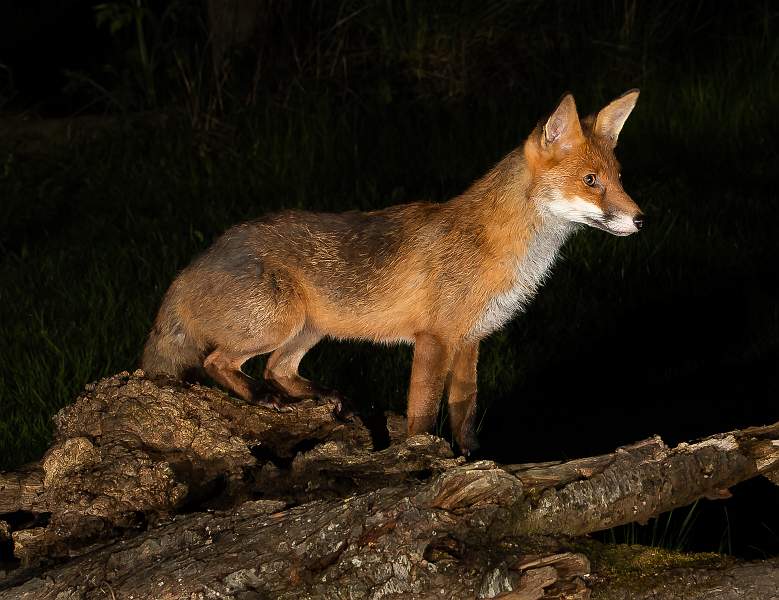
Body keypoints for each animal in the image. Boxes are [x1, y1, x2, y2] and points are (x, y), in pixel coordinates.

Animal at [141, 90, 643, 455]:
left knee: (276, 368)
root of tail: (189, 268)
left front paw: (471, 457)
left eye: (619, 177)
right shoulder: (434, 339)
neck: (503, 249)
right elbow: (422, 413)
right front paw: (421, 458)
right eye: (591, 182)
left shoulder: (471, 339)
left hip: (312, 328)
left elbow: (463, 410)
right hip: (278, 320)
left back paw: (316, 395)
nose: (641, 220)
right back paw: (263, 397)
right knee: (218, 362)